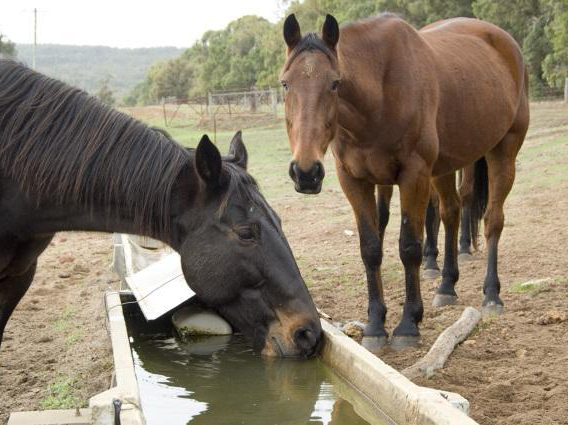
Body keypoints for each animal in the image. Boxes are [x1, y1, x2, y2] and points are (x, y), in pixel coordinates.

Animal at [282, 14, 532, 350]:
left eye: (335, 83)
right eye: (285, 83)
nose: (306, 172)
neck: (380, 96)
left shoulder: (414, 176)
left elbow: (409, 246)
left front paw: (408, 324)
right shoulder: (355, 181)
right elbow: (370, 248)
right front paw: (375, 325)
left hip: (503, 152)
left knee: (493, 221)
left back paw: (492, 294)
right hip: (445, 168)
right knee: (451, 213)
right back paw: (446, 286)